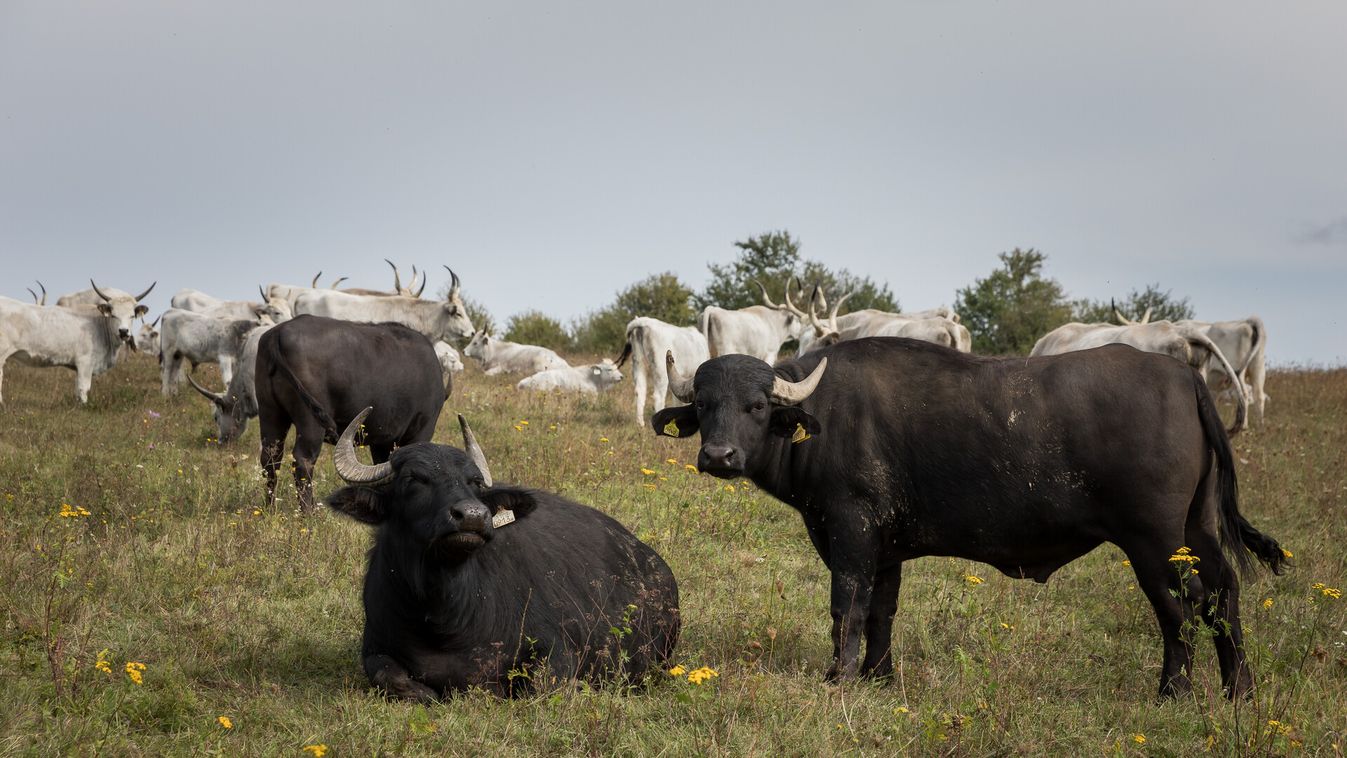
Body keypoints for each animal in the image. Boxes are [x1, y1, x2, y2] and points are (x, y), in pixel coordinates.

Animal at [0, 280, 154, 403]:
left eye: (132, 316)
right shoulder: (85, 363)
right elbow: (83, 388)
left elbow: (77, 390)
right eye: (113, 315)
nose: (123, 331)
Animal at [251, 315, 441, 508]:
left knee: (270, 458)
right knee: (303, 461)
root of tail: (278, 333)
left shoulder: (381, 441)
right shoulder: (421, 431)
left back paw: (270, 508)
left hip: (270, 413)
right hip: (310, 422)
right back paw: (309, 511)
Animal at [327, 411, 684, 705]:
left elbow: (539, 685)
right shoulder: (375, 646)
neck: (443, 616)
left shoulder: (558, 650)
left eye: (473, 482)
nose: (472, 516)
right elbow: (389, 675)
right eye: (413, 479)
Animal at [651, 337, 1282, 700]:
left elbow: (847, 606)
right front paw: (879, 677)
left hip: (1154, 542)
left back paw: (1173, 692)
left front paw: (840, 678)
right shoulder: (888, 548)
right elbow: (881, 611)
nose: (718, 457)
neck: (824, 417)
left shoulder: (851, 531)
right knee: (1224, 591)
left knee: (1179, 607)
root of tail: (1183, 375)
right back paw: (1239, 690)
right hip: (1196, 528)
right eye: (704, 404)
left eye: (757, 406)